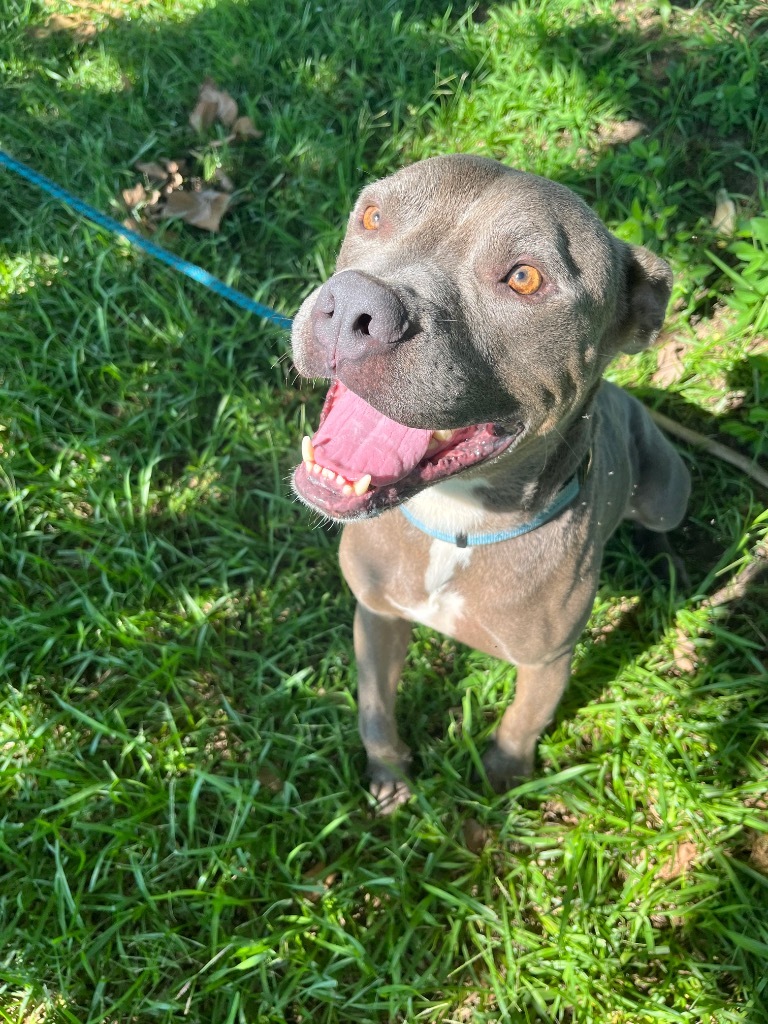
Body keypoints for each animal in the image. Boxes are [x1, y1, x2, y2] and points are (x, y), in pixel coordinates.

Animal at [290, 153, 696, 806]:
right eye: (372, 215)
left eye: (525, 278)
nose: (353, 304)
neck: (455, 520)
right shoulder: (375, 614)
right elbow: (375, 705)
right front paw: (389, 775)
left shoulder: (548, 661)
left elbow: (523, 721)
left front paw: (502, 779)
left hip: (664, 493)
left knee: (661, 521)